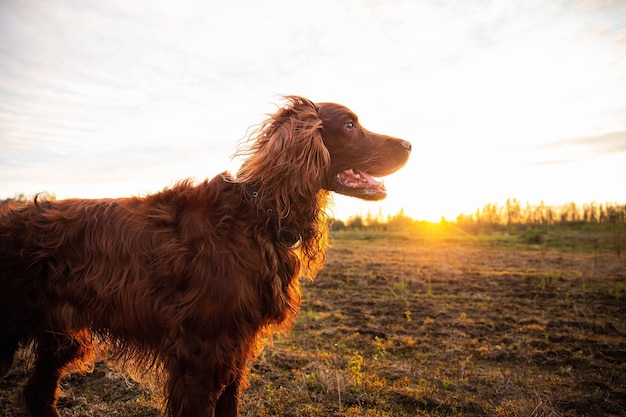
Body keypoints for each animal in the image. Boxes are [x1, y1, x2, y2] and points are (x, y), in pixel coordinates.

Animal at [1, 96, 410, 414]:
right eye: (350, 125)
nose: (408, 144)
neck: (257, 215)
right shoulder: (200, 353)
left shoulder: (236, 350)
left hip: (61, 335)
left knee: (37, 394)